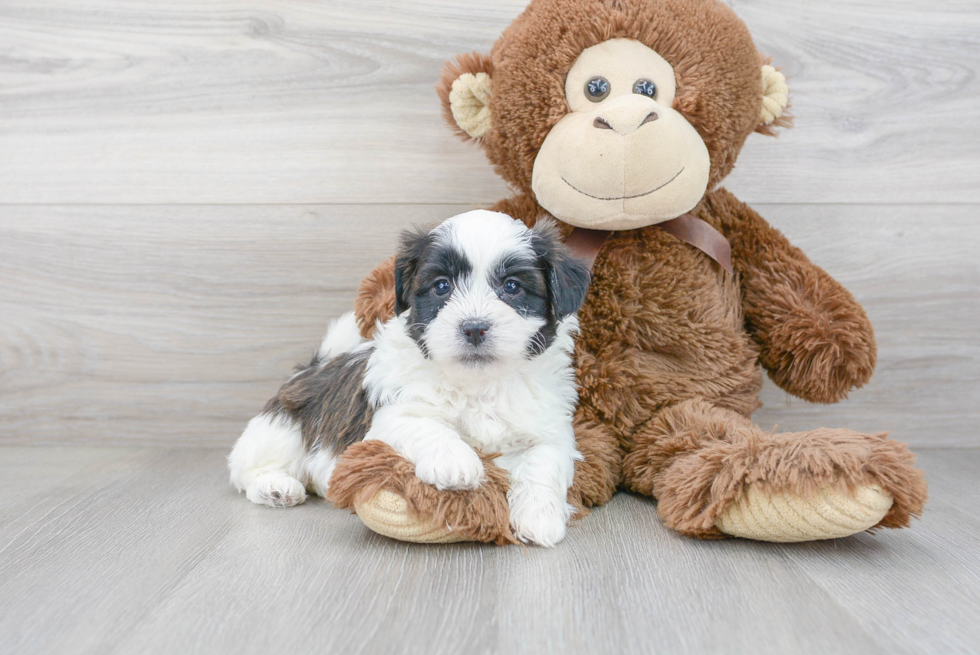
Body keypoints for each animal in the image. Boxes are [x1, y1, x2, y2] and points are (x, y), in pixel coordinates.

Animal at [228, 211, 588, 548]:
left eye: (512, 286)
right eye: (441, 286)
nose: (474, 327)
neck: (477, 382)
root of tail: (314, 366)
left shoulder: (549, 428)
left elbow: (544, 462)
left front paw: (539, 517)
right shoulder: (391, 415)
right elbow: (425, 426)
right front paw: (455, 462)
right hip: (281, 429)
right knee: (247, 467)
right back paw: (275, 486)